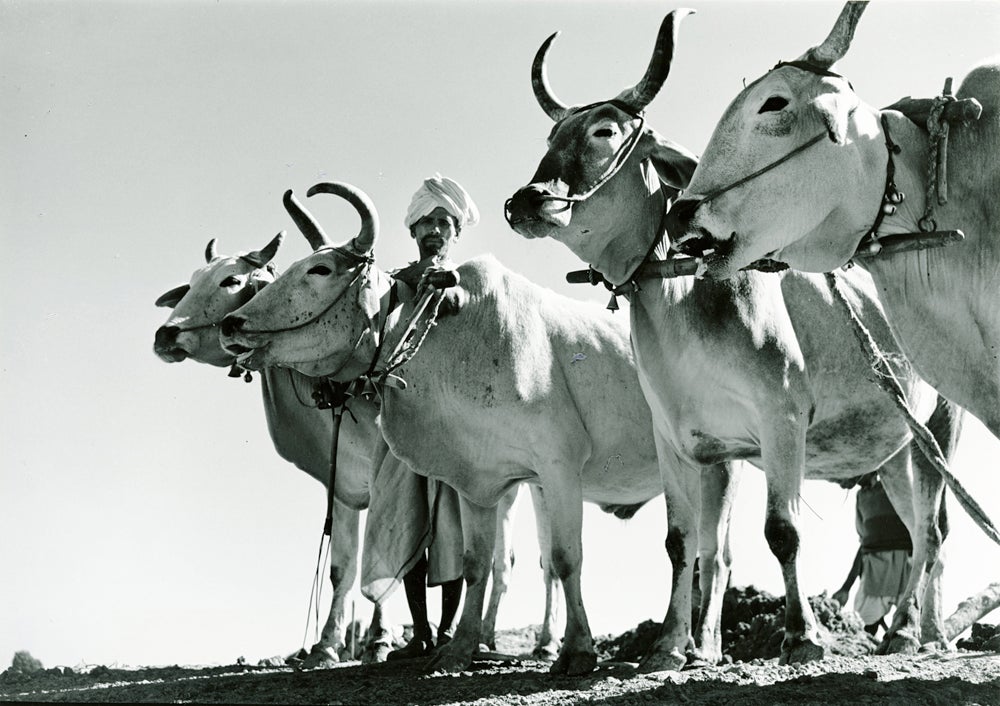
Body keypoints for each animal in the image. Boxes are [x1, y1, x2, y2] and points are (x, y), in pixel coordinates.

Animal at [153, 235, 527, 666]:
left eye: (230, 280)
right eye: (193, 280)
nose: (164, 335)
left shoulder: (386, 468)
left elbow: (387, 557)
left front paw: (379, 640)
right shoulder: (342, 480)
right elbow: (343, 566)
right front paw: (327, 643)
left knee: (510, 561)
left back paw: (509, 638)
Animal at [217, 181, 739, 676]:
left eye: (320, 270)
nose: (231, 323)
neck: (447, 337)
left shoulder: (558, 467)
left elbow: (566, 557)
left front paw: (577, 651)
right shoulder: (477, 482)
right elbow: (473, 566)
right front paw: (459, 649)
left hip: (721, 466)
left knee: (713, 557)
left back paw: (699, 649)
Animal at [504, 9, 962, 669]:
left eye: (604, 131)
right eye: (549, 139)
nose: (525, 201)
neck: (682, 301)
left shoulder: (782, 420)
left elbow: (782, 532)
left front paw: (801, 635)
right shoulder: (684, 441)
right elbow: (684, 544)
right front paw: (675, 645)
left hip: (938, 434)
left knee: (931, 533)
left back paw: (909, 630)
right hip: (895, 451)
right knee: (920, 530)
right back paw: (919, 630)